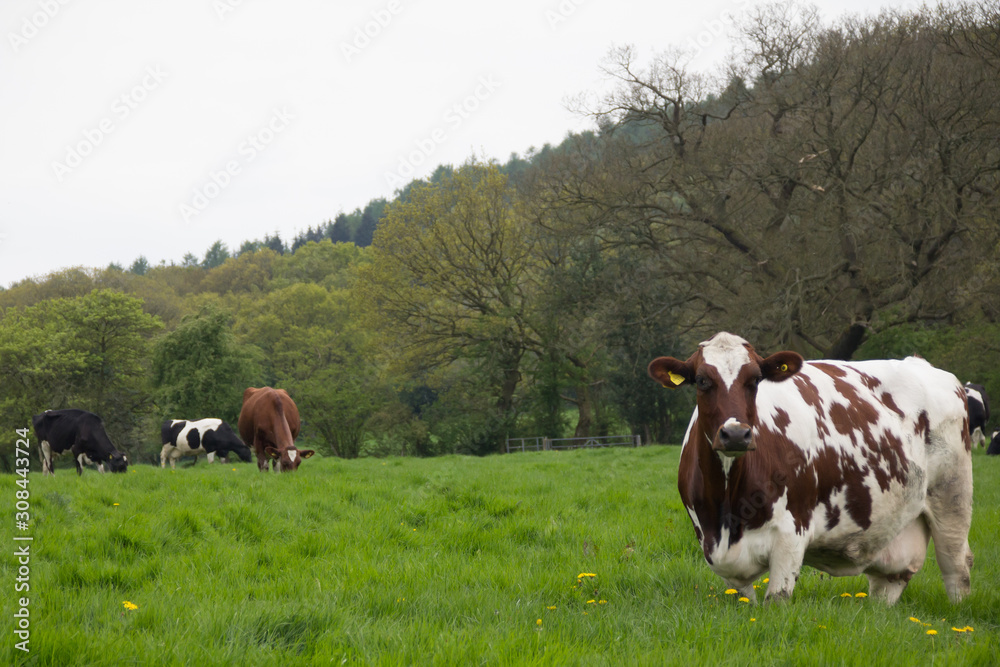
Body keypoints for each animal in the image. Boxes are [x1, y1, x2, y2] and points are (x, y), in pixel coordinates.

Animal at [648, 332, 973, 605]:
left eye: (755, 380)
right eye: (702, 380)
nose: (736, 434)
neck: (728, 510)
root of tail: (921, 364)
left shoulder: (792, 534)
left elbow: (776, 600)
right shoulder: (713, 544)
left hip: (952, 498)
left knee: (957, 565)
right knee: (891, 579)